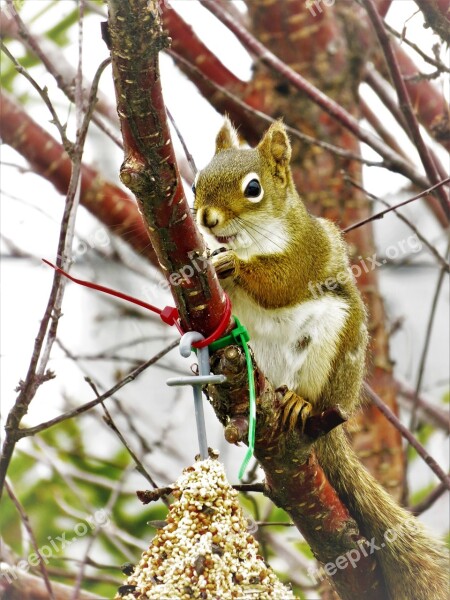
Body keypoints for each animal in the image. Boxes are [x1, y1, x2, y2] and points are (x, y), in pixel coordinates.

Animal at [193, 118, 450, 600]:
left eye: (253, 188)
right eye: (197, 181)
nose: (206, 220)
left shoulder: (306, 252)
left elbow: (281, 281)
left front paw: (231, 264)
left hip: (333, 343)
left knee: (311, 390)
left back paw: (299, 401)